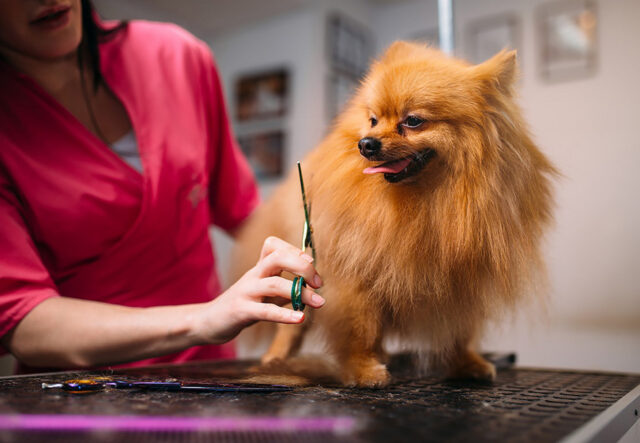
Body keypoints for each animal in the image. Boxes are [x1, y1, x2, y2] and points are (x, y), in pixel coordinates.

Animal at [231, 42, 556, 388]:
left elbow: (459, 330)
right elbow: (361, 328)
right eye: (373, 120)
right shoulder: (357, 276)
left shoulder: (461, 279)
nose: (365, 143)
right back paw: (276, 356)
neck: (429, 200)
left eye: (413, 121)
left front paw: (466, 362)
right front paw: (364, 370)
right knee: (294, 322)